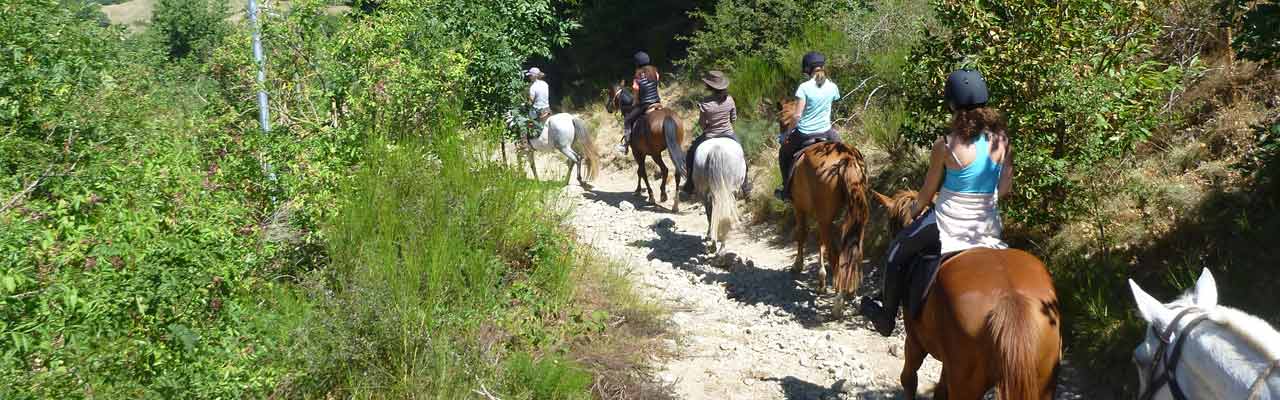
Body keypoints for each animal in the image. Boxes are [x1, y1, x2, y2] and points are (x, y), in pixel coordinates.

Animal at [601, 82, 686, 212]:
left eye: (611, 94)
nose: (608, 107)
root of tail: (667, 117)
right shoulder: (643, 153)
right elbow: (640, 171)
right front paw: (638, 190)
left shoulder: (637, 153)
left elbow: (642, 172)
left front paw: (649, 195)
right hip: (675, 148)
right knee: (677, 172)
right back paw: (675, 204)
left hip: (656, 154)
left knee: (664, 170)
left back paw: (662, 195)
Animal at [768, 98, 870, 316]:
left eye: (781, 121)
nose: (782, 138)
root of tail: (845, 159)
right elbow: (820, 242)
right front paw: (821, 281)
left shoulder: (800, 208)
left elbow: (802, 234)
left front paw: (798, 266)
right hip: (852, 216)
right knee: (852, 249)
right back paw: (851, 292)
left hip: (824, 217)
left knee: (834, 251)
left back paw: (839, 300)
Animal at [870, 191, 1059, 400]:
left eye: (891, 227)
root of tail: (1011, 299)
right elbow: (939, 390)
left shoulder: (914, 340)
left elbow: (909, 379)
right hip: (1042, 383)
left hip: (965, 382)